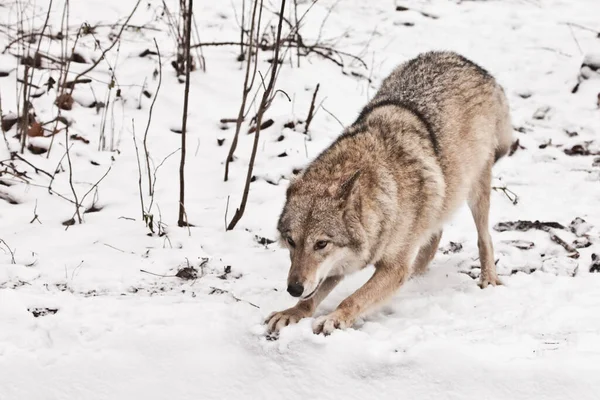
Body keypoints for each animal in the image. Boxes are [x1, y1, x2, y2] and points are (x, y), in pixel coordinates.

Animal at [266, 51, 510, 336]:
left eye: (321, 244)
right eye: (291, 241)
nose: (293, 288)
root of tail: (467, 61)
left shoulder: (393, 268)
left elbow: (353, 299)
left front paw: (334, 319)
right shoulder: (344, 262)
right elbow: (312, 298)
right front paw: (291, 312)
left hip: (476, 190)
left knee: (484, 238)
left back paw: (488, 279)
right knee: (435, 234)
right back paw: (417, 276)